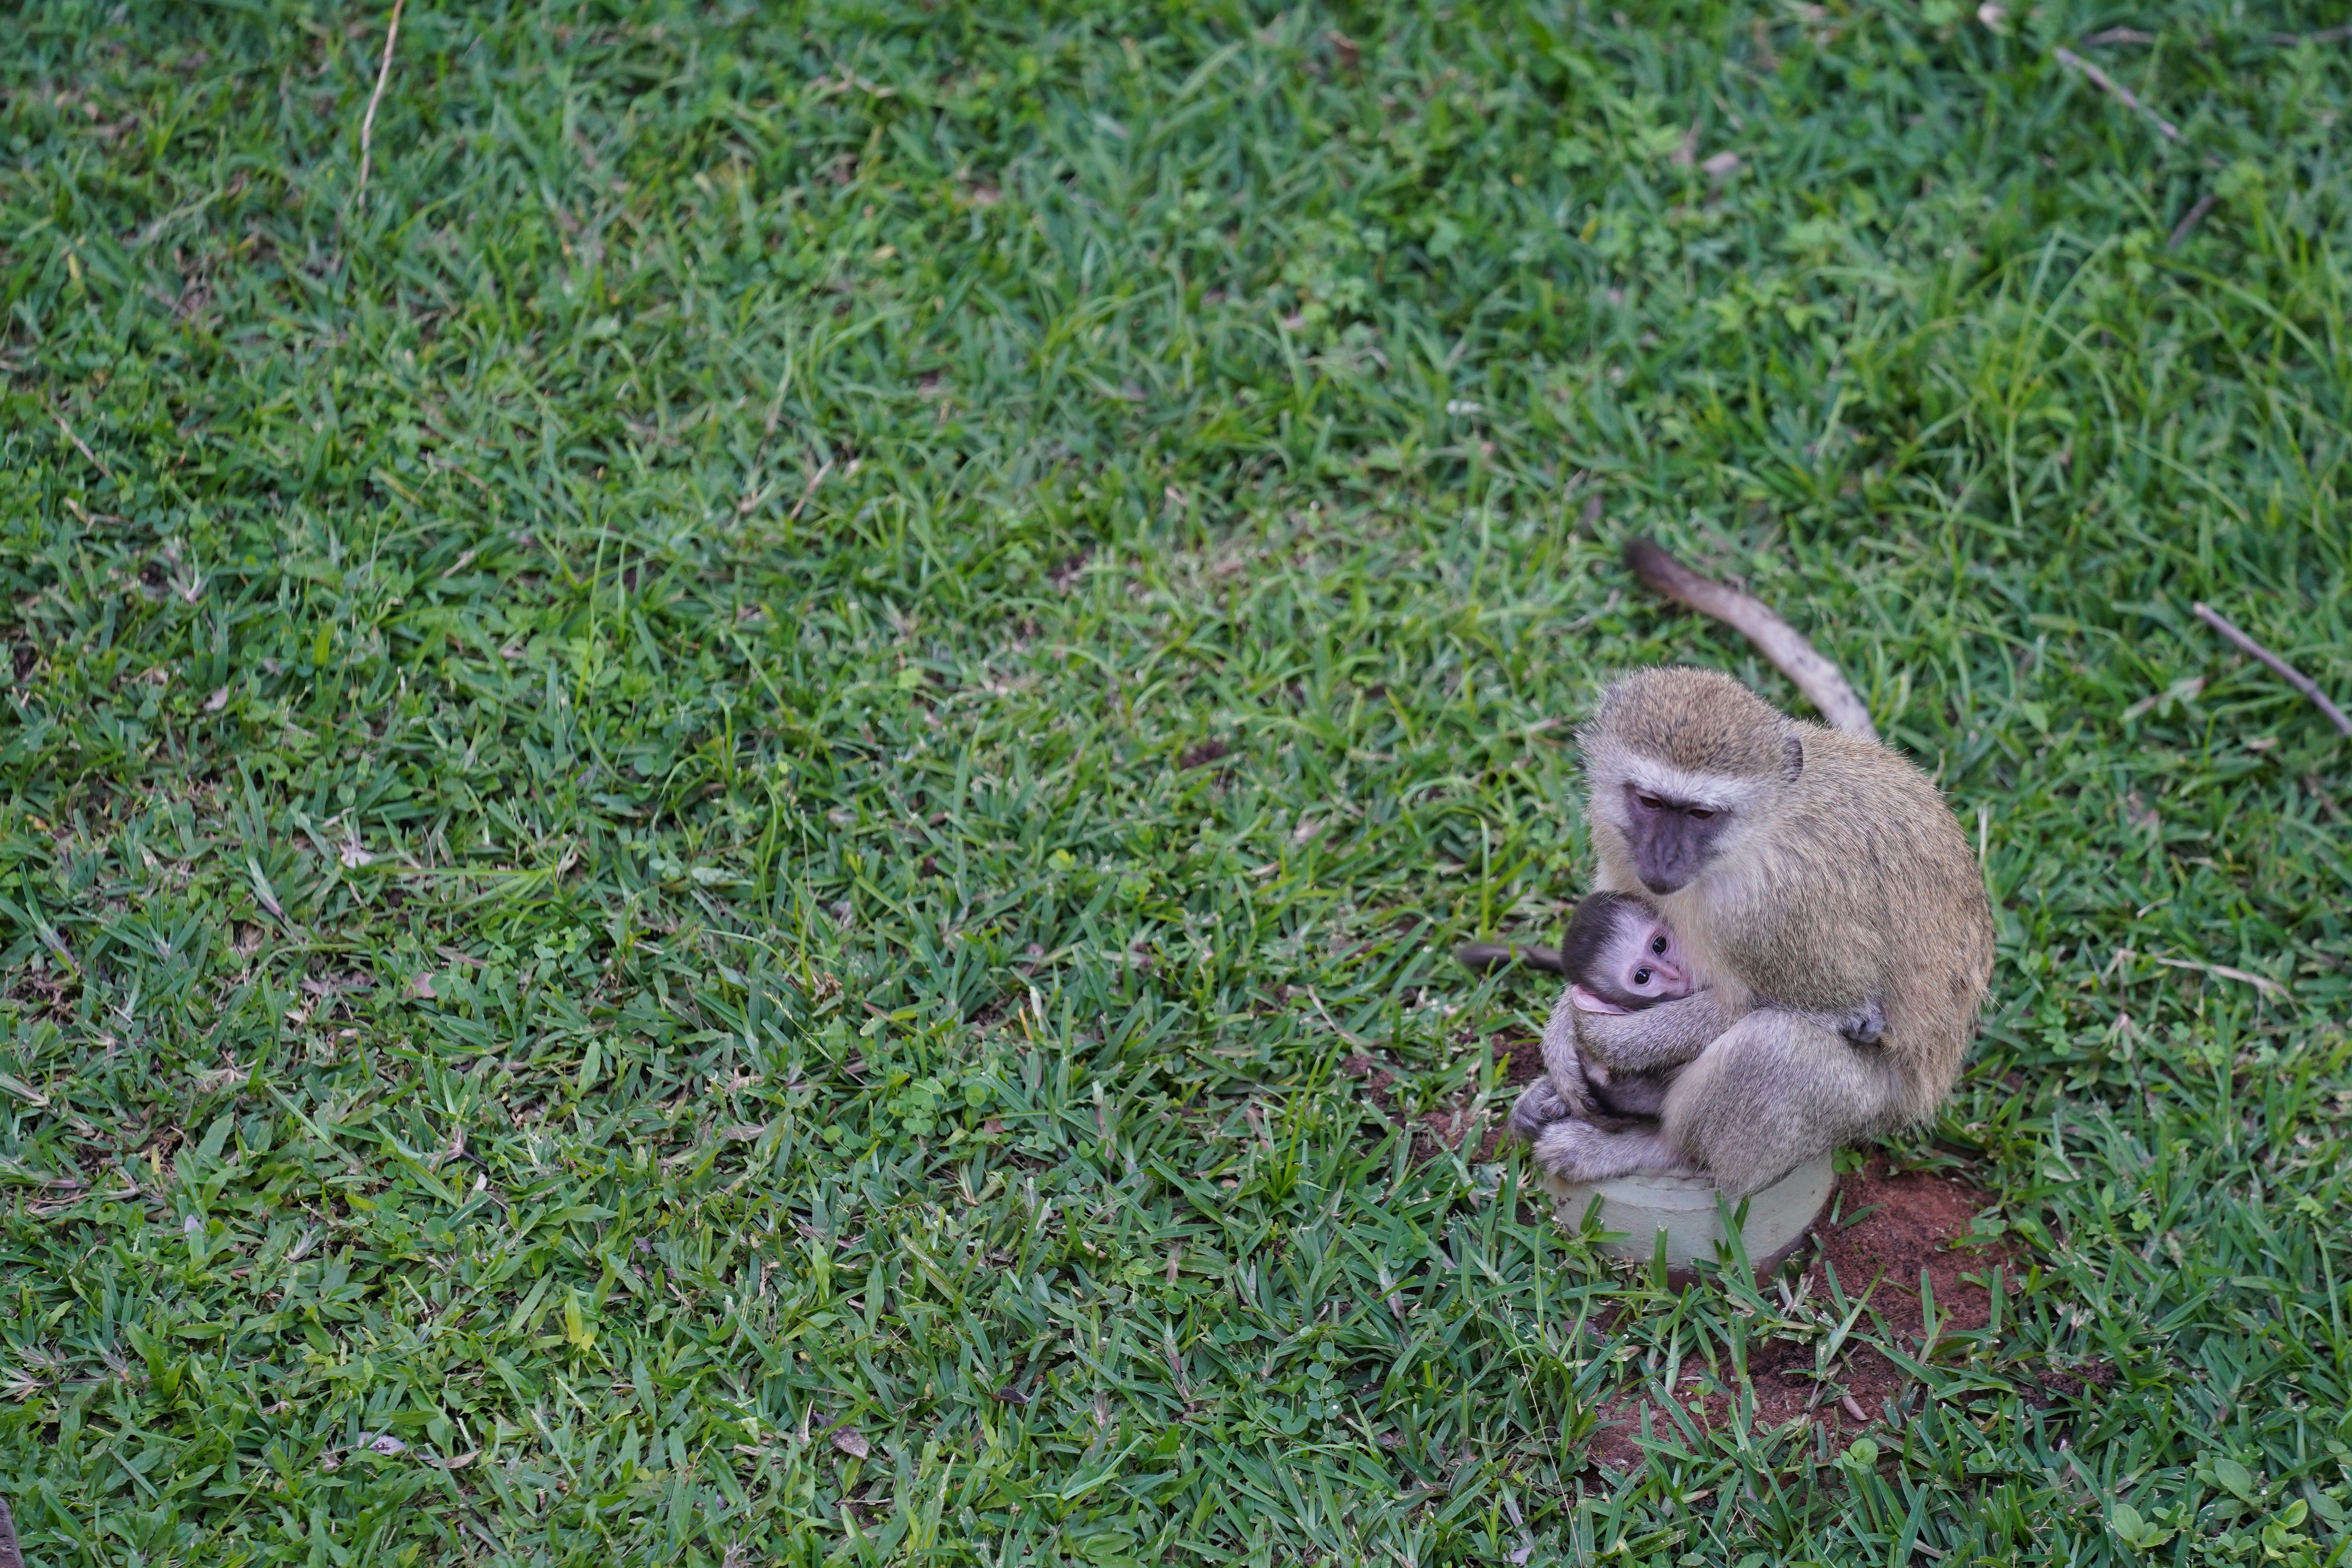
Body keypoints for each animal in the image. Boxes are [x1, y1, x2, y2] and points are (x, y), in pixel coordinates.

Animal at [1508, 666, 1993, 1198]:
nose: (1663, 860)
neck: (1757, 833)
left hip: (1868, 1105)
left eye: (1701, 814)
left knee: (1772, 1046)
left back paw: (1654, 1146)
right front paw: (1560, 1040)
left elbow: (1805, 1007)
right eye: (1650, 802)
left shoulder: (1775, 909)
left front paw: (1603, 1037)